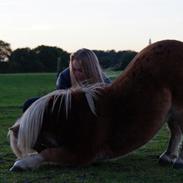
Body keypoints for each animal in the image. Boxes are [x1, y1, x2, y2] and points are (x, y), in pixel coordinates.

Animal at [8, 39, 183, 171]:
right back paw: (167, 157)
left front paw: (21, 164)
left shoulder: (83, 152)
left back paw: (178, 161)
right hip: (171, 112)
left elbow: (50, 154)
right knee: (176, 131)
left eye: (39, 143)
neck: (74, 115)